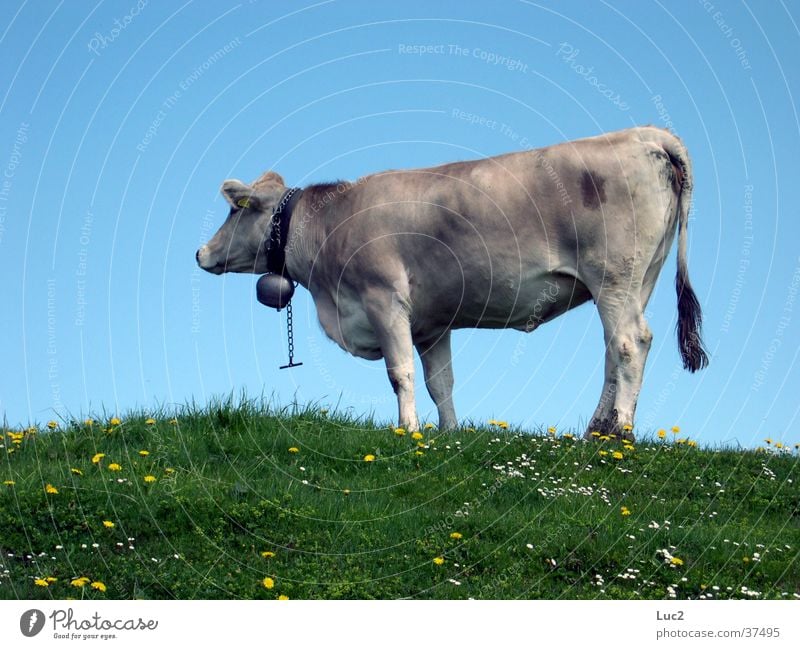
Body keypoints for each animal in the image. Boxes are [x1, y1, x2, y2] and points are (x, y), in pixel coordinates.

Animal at [198, 125, 708, 440]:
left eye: (233, 210)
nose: (200, 252)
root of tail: (644, 133)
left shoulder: (384, 300)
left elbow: (400, 373)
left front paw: (407, 430)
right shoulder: (431, 324)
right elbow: (439, 382)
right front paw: (449, 433)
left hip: (614, 276)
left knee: (629, 343)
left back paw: (620, 430)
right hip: (641, 278)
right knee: (613, 350)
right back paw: (596, 429)